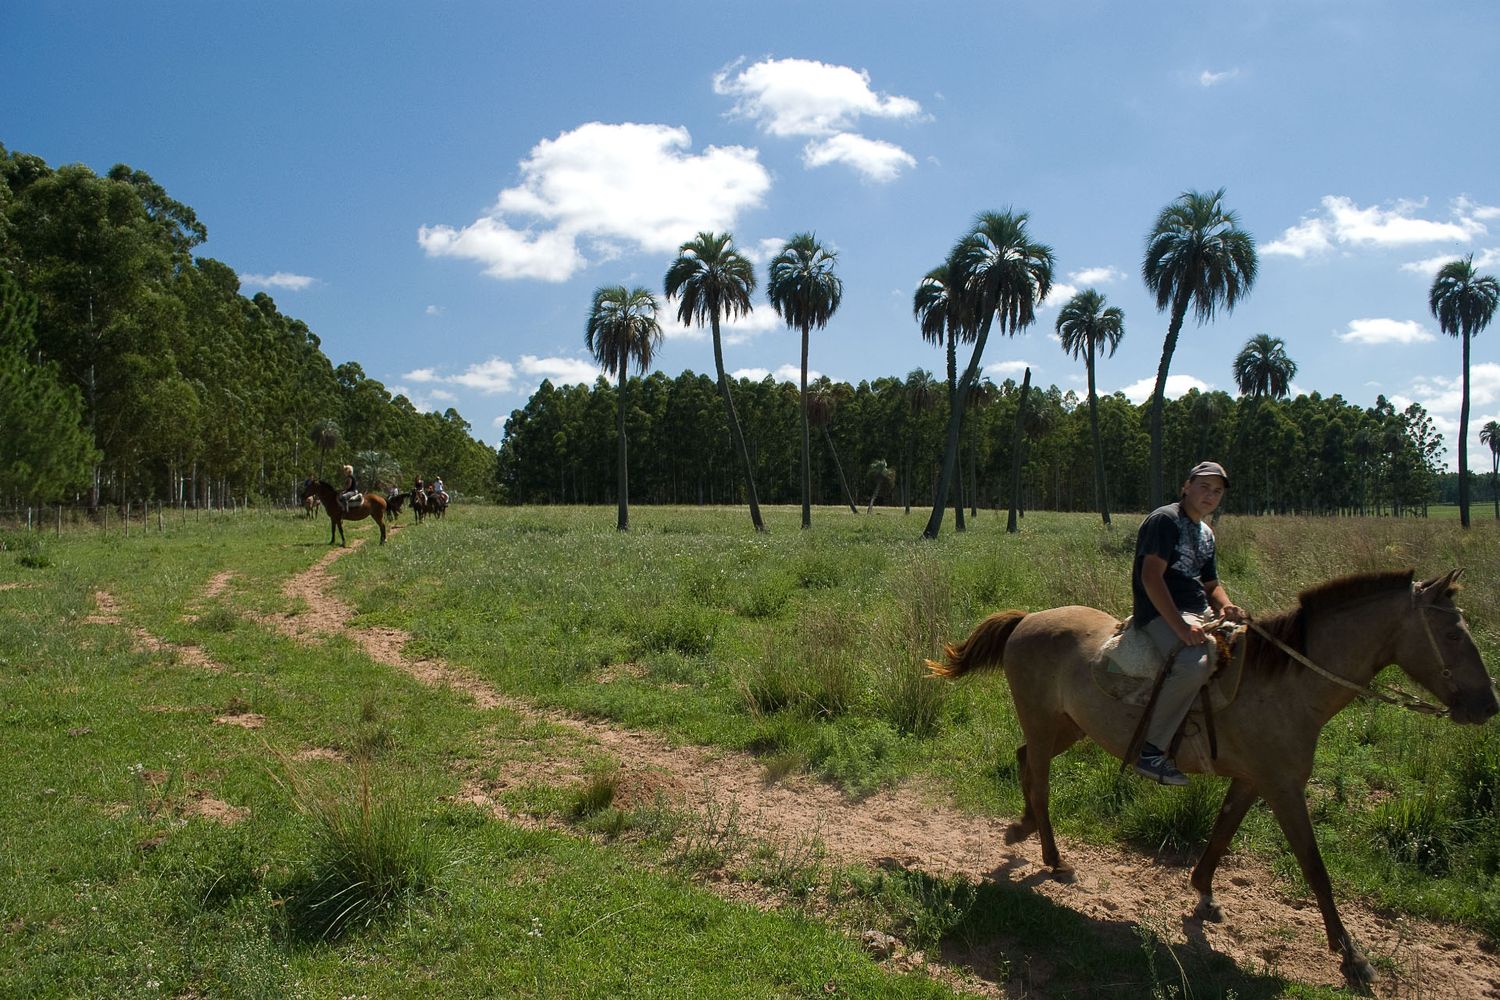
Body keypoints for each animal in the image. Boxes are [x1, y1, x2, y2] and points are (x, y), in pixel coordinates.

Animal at [930, 569, 1494, 995]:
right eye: (1451, 635)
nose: (1488, 705)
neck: (1289, 682)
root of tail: (1027, 619)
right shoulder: (1284, 787)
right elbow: (1315, 869)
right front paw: (1351, 957)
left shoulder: (1253, 781)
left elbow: (1221, 835)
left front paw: (1203, 892)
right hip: (1045, 721)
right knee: (1040, 779)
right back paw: (1052, 858)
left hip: (1066, 726)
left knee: (1026, 761)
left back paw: (1022, 830)